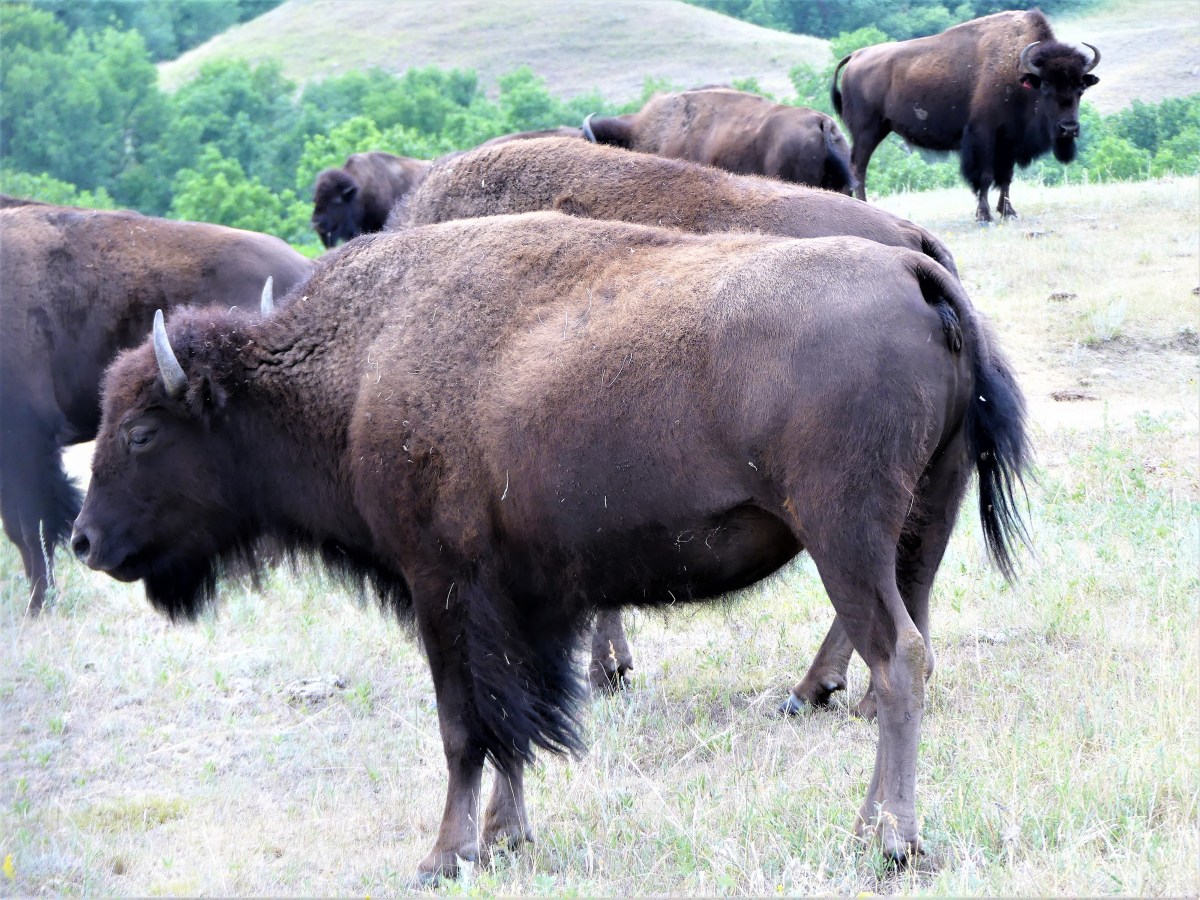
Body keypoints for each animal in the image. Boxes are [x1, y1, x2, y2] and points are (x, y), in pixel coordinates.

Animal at [73, 211, 1028, 879]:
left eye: (145, 431)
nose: (85, 540)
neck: (362, 366)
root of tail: (912, 271)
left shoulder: (442, 588)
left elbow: (467, 725)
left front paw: (444, 855)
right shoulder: (527, 601)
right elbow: (519, 721)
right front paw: (505, 836)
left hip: (844, 535)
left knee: (897, 659)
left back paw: (886, 842)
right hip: (918, 528)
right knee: (908, 651)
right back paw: (878, 826)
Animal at [832, 10, 1100, 222]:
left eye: (1080, 88)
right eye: (1045, 86)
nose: (1069, 128)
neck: (1016, 72)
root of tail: (856, 55)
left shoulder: (1009, 141)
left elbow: (1006, 177)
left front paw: (1008, 212)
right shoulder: (984, 135)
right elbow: (985, 176)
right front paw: (984, 216)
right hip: (868, 130)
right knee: (859, 166)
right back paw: (863, 205)